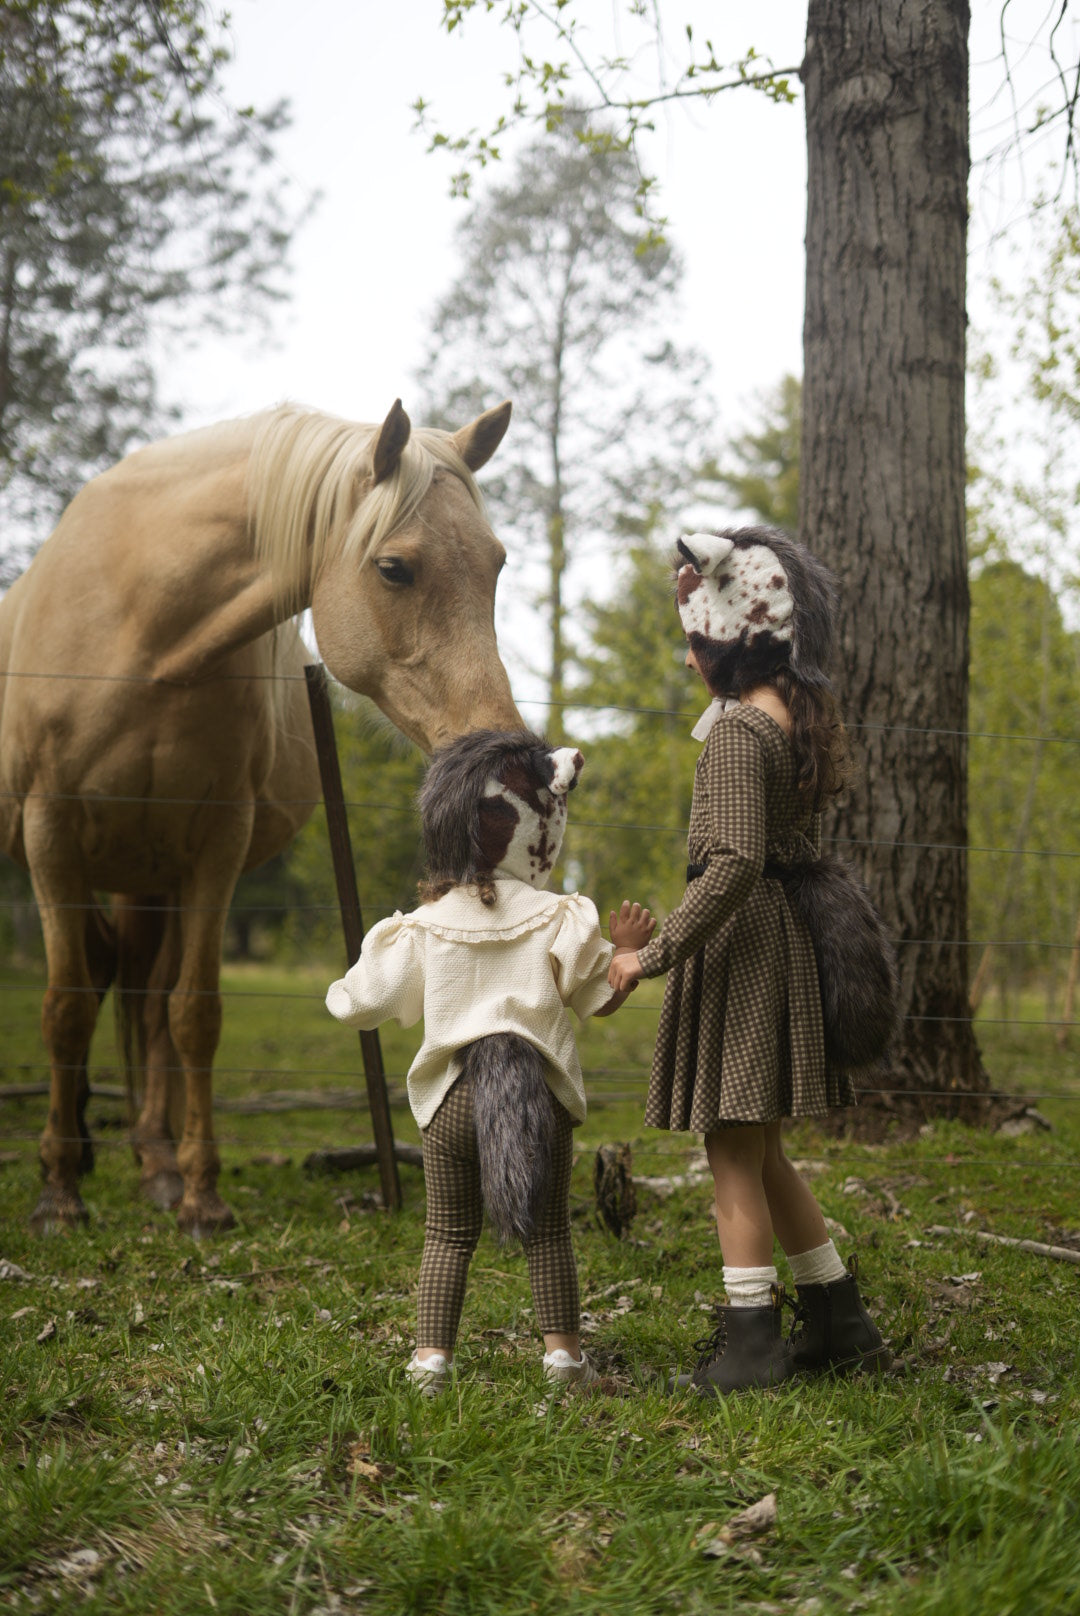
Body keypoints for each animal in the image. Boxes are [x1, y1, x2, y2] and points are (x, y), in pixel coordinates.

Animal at [0, 397, 523, 1228]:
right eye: (394, 567)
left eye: (496, 563)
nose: (507, 756)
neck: (138, 631)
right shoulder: (50, 833)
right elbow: (65, 1007)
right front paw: (57, 1195)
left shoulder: (216, 843)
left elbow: (193, 1014)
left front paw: (202, 1195)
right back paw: (83, 1155)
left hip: (153, 878)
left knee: (147, 999)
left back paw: (155, 1163)